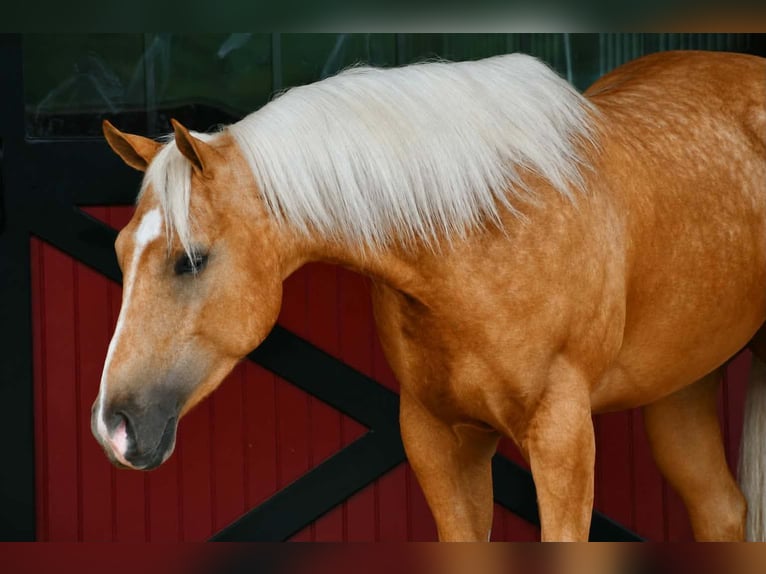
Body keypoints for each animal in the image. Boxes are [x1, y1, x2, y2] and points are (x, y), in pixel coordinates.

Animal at [91, 50, 766, 541]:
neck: (487, 225)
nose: (113, 427)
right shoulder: (438, 439)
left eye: (191, 259)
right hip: (681, 388)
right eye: (121, 251)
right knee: (722, 513)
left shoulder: (563, 436)